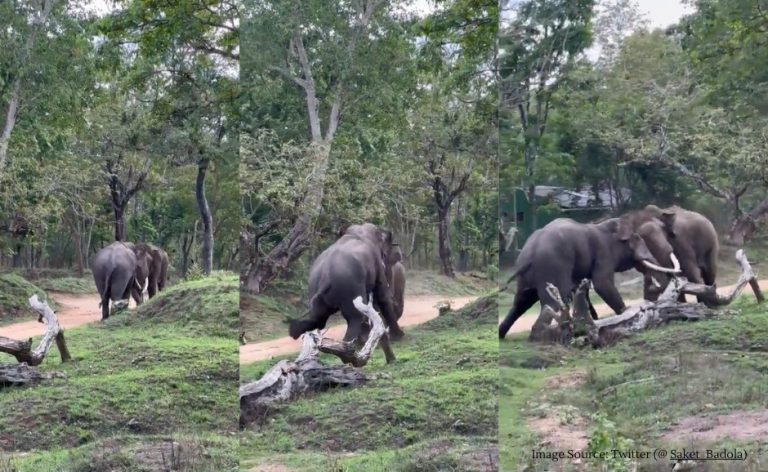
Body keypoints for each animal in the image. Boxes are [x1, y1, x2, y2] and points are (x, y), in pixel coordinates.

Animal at [288, 223, 405, 362]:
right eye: (385, 255)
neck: (358, 232)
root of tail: (326, 277)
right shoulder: (376, 264)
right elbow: (382, 296)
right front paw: (399, 337)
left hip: (314, 291)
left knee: (318, 321)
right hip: (348, 289)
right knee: (354, 318)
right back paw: (351, 354)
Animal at [498, 211, 681, 339]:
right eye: (637, 240)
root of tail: (530, 253)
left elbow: (584, 287)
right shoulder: (603, 253)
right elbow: (602, 283)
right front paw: (625, 314)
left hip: (528, 275)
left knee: (521, 302)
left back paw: (502, 334)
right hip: (552, 266)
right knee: (553, 302)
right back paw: (543, 336)